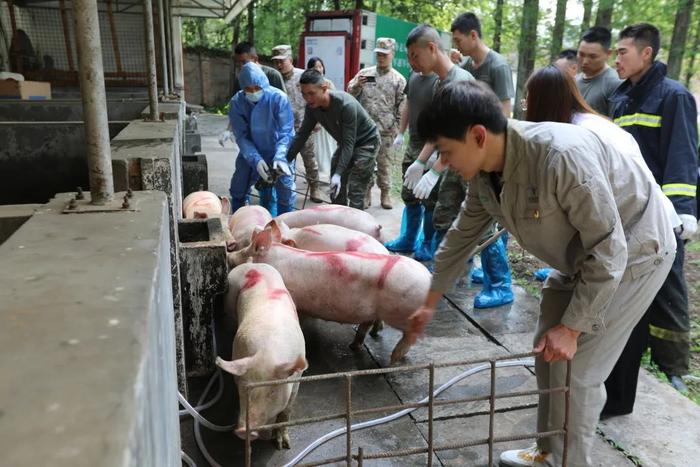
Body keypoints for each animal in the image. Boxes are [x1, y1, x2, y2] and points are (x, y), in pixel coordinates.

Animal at [216, 264, 306, 450]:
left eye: (272, 391)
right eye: (242, 387)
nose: (242, 431)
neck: (266, 352)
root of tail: (253, 264)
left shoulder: (298, 379)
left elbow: (287, 410)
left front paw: (283, 446)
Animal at [227, 229, 432, 364]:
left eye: (245, 251)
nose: (229, 254)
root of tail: (429, 279)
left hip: (403, 313)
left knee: (410, 337)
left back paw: (393, 360)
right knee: (368, 325)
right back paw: (354, 346)